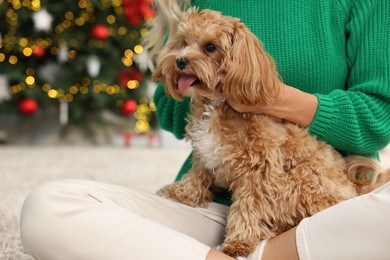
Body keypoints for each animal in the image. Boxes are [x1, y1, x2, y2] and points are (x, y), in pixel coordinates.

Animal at [152, 7, 386, 256]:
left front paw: (238, 242)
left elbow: (249, 207)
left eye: (210, 47)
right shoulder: (203, 153)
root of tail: (355, 189)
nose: (180, 60)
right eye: (184, 42)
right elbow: (198, 175)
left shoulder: (259, 171)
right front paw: (182, 193)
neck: (215, 104)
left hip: (303, 179)